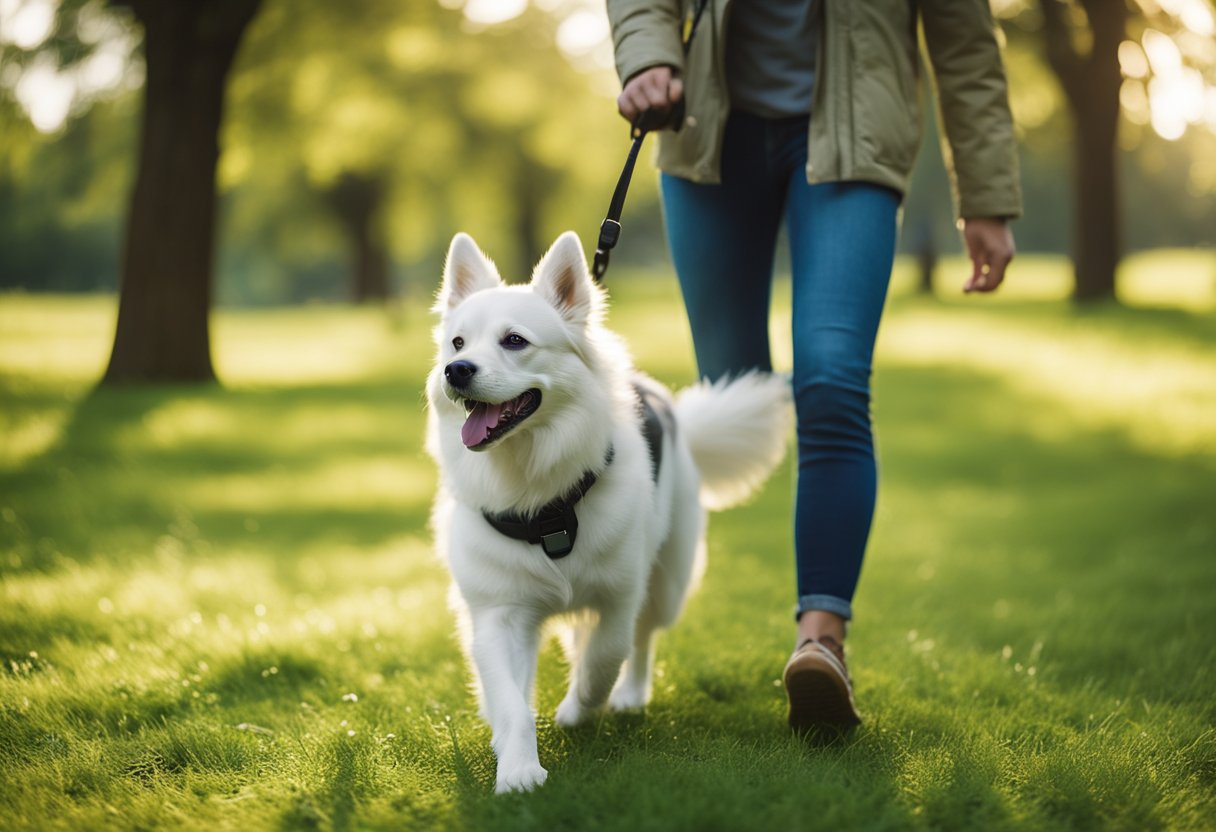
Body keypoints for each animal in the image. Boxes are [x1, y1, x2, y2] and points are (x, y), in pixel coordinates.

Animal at [425, 231, 787, 788]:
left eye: (515, 341)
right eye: (458, 343)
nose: (456, 371)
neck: (539, 495)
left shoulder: (620, 595)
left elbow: (604, 658)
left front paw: (578, 710)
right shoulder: (498, 614)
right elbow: (511, 699)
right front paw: (517, 767)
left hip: (667, 582)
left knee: (641, 641)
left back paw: (630, 697)